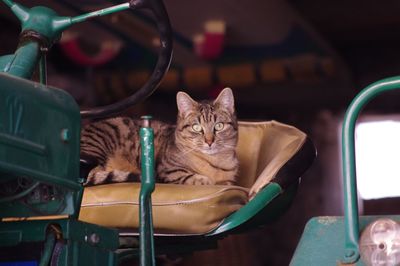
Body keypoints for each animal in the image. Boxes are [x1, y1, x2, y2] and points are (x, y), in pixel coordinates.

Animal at [79, 86, 239, 186]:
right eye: (196, 127)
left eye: (219, 126)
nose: (209, 141)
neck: (214, 161)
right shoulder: (168, 170)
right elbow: (188, 176)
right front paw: (205, 180)